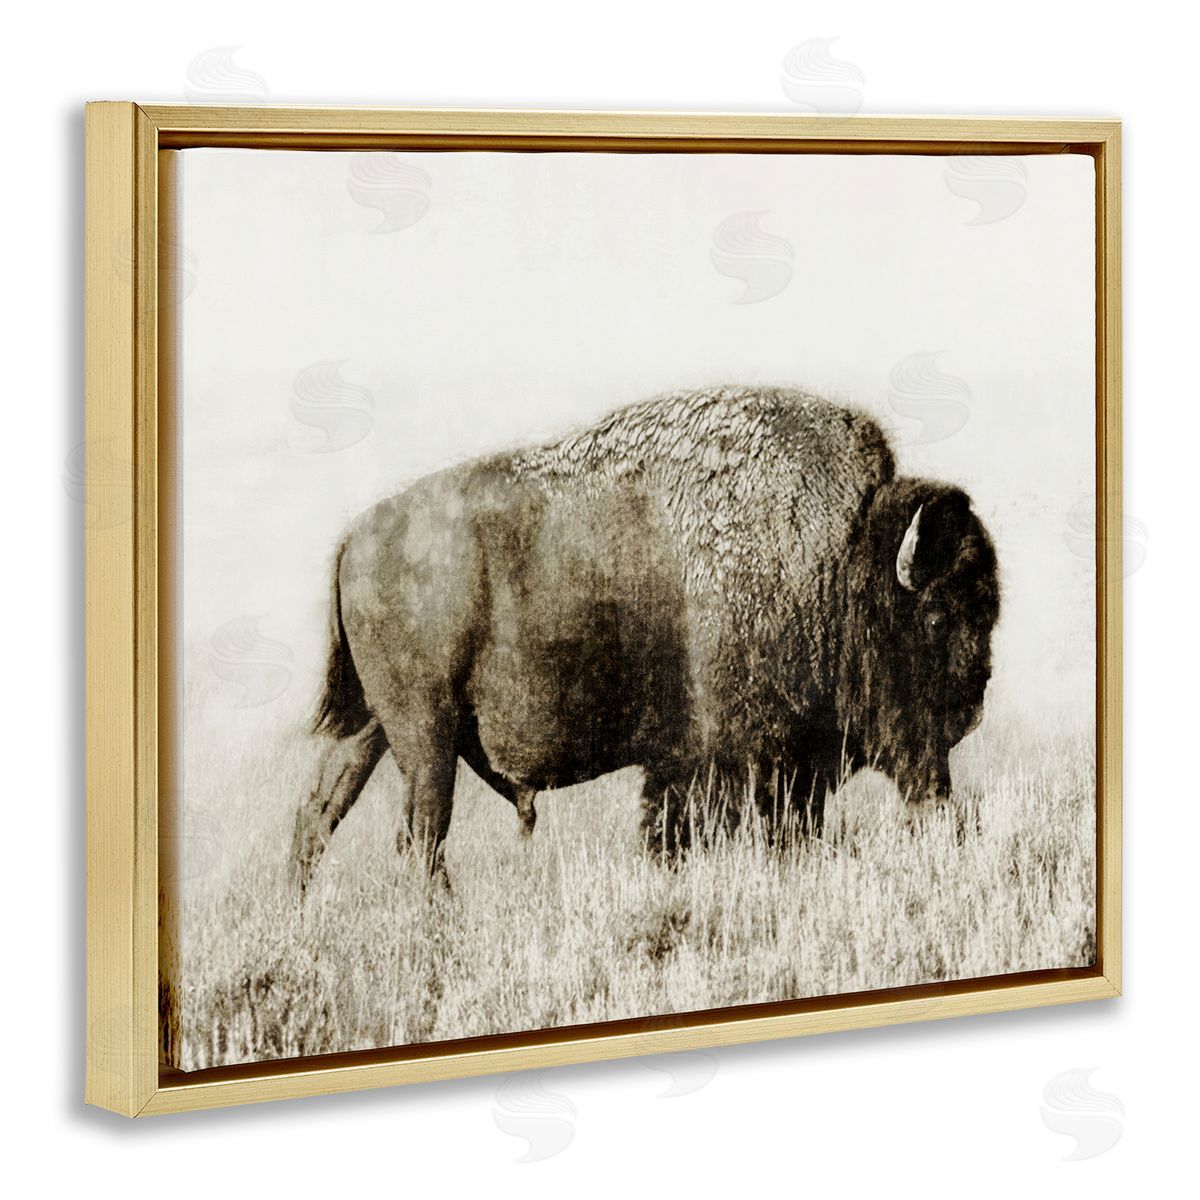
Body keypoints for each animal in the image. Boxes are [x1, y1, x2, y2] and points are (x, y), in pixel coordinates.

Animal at [291, 385, 1000, 889]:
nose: (969, 709)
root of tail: (354, 538)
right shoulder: (743, 763)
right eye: (936, 617)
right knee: (419, 835)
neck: (841, 555)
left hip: (375, 728)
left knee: (319, 816)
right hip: (425, 735)